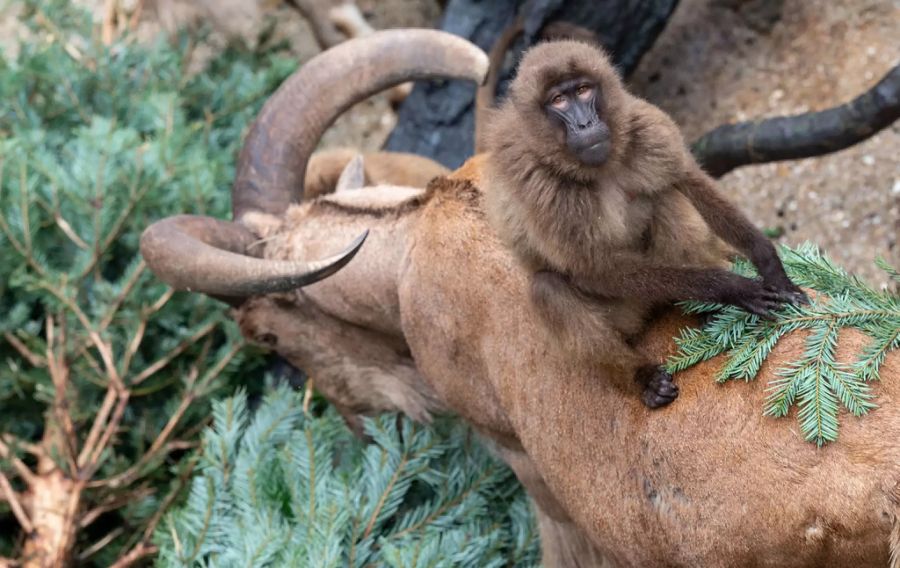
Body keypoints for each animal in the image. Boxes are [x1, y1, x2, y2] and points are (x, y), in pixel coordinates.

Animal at [482, 42, 804, 408]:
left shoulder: (647, 128)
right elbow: (592, 269)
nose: (585, 122)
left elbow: (688, 180)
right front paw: (729, 288)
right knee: (547, 288)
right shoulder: (542, 190)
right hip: (624, 312)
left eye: (583, 89)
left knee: (665, 199)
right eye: (558, 100)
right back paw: (643, 377)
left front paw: (768, 262)